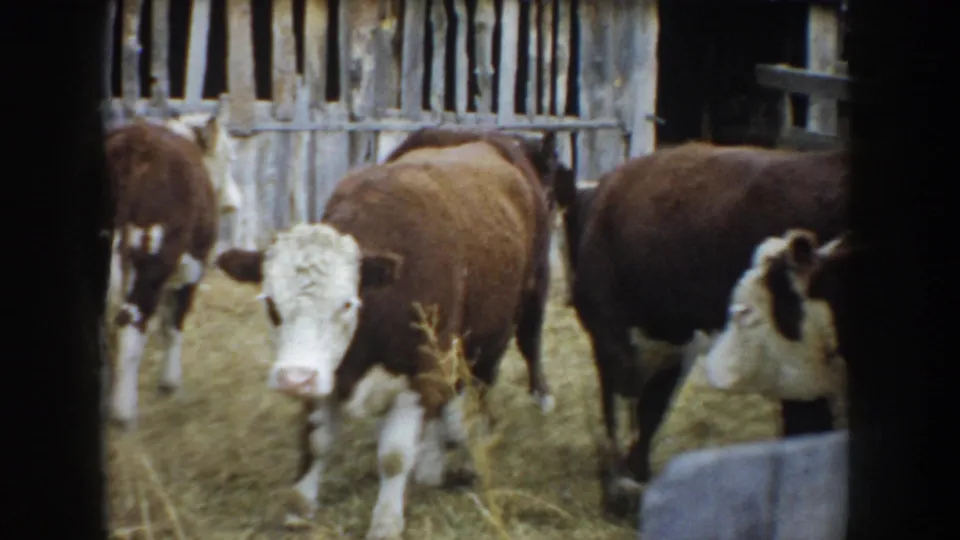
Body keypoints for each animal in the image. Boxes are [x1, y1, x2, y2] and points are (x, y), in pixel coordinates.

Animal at [104, 110, 241, 431]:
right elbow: (173, 325)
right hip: (149, 266)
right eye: (229, 157)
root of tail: (130, 142)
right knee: (130, 324)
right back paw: (123, 414)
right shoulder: (190, 270)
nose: (235, 202)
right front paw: (169, 382)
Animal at [214, 128, 564, 539]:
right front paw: (301, 507)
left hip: (505, 322)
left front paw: (386, 520)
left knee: (488, 378)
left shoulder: (418, 370)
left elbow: (395, 455)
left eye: (347, 304)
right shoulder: (327, 373)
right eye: (270, 302)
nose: (294, 378)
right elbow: (316, 441)